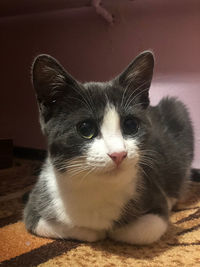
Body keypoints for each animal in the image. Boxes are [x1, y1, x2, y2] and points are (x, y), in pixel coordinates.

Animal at [23, 51, 194, 246]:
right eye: (85, 129)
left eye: (131, 125)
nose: (118, 154)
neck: (97, 186)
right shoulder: (34, 205)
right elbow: (61, 227)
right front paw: (96, 232)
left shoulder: (154, 197)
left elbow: (143, 230)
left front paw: (113, 230)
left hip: (177, 109)